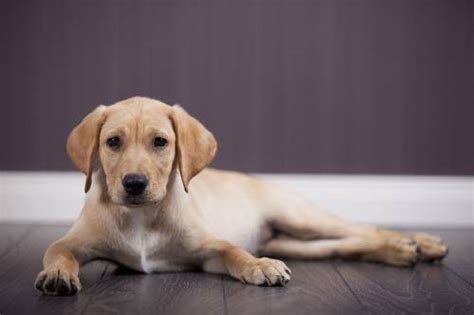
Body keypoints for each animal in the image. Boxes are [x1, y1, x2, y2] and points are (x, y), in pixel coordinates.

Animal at [34, 97, 448, 296]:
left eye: (160, 142)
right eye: (113, 142)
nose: (134, 183)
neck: (141, 219)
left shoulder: (209, 249)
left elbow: (234, 252)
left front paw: (259, 267)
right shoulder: (75, 241)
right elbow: (56, 250)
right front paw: (57, 273)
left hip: (298, 216)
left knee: (363, 228)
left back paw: (419, 243)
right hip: (292, 242)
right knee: (344, 245)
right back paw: (403, 251)